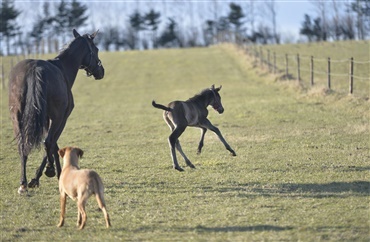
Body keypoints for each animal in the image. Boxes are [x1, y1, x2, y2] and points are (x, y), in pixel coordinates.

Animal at [9, 28, 104, 195]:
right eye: (96, 49)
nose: (101, 71)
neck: (63, 69)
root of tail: (35, 68)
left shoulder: (46, 119)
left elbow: (54, 144)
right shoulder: (61, 118)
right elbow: (52, 142)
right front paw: (51, 173)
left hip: (17, 117)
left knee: (22, 146)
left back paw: (23, 183)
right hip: (57, 117)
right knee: (47, 141)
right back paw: (48, 171)